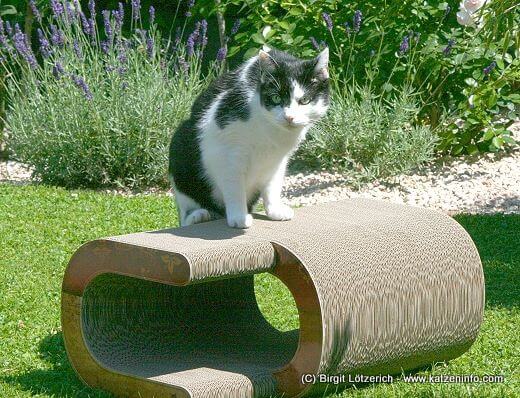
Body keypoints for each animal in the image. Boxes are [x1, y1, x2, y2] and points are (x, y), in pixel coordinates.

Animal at [170, 47, 330, 229]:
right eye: (276, 98)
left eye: (304, 100)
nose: (289, 117)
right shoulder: (225, 153)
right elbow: (234, 187)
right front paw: (239, 217)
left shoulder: (279, 160)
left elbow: (273, 185)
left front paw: (275, 210)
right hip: (180, 143)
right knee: (185, 213)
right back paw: (199, 215)